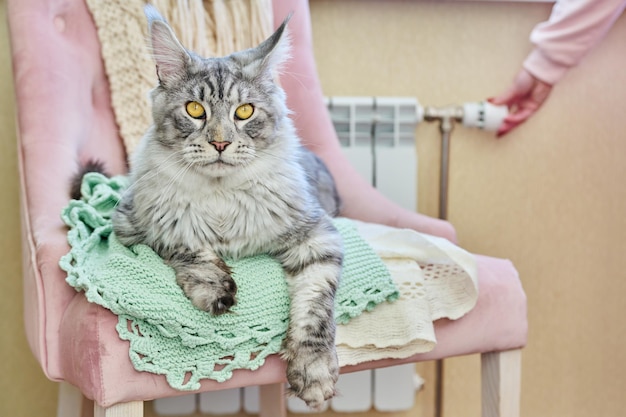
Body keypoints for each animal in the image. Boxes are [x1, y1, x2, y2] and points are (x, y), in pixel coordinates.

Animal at [109, 4, 342, 408]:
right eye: (194, 109)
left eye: (244, 112)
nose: (219, 143)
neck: (220, 196)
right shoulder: (137, 225)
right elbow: (188, 246)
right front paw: (215, 288)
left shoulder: (317, 236)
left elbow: (315, 308)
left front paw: (313, 370)